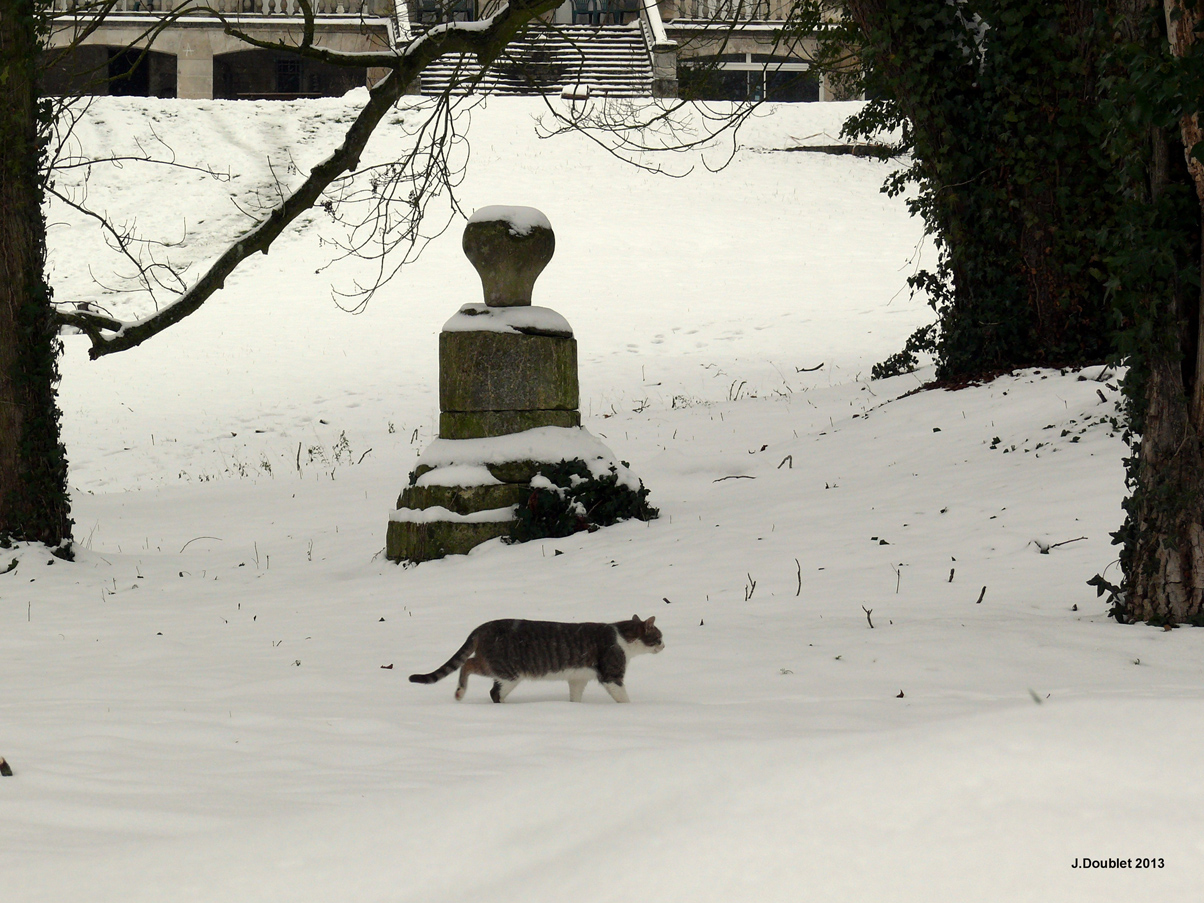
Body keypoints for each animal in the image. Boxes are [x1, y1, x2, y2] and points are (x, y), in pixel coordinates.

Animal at [409, 621, 664, 703]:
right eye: (659, 637)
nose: (664, 646)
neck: (623, 635)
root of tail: (482, 627)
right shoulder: (611, 674)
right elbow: (623, 697)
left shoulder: (578, 677)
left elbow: (575, 696)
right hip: (508, 670)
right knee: (471, 668)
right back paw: (461, 692)